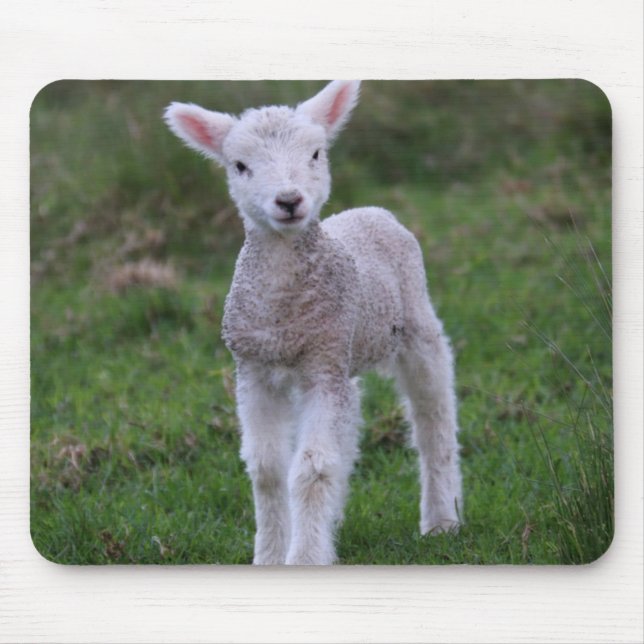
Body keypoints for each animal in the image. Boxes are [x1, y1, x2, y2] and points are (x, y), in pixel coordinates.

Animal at [164, 81, 463, 565]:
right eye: (240, 166)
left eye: (317, 154)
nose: (289, 201)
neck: (283, 312)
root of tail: (371, 211)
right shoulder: (255, 370)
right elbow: (267, 469)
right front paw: (270, 556)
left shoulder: (321, 368)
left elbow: (312, 468)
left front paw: (303, 558)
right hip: (343, 353)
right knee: (352, 422)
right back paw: (333, 522)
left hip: (415, 324)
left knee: (433, 418)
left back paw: (441, 520)